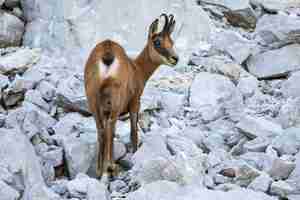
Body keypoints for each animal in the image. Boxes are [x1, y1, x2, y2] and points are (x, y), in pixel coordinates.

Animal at [84, 13, 178, 180]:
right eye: (157, 41)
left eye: (171, 41)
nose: (175, 58)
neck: (138, 70)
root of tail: (107, 53)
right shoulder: (135, 102)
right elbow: (134, 131)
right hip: (116, 99)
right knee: (111, 126)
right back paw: (110, 168)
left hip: (92, 98)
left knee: (101, 130)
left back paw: (100, 170)